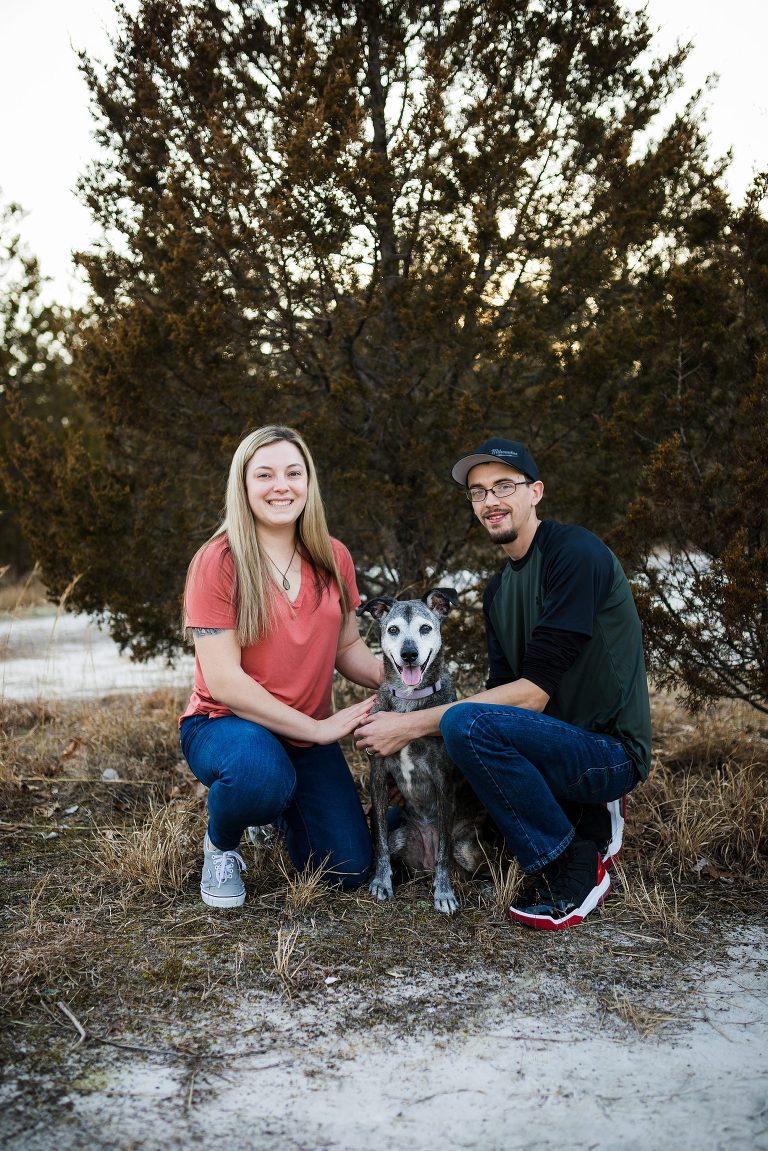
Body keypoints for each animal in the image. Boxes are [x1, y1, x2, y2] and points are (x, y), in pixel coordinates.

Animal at [356, 589, 483, 911]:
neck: (408, 701)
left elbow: (443, 853)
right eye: (393, 630)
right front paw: (381, 881)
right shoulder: (378, 777)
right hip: (403, 835)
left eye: (425, 628)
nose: (409, 654)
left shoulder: (443, 781)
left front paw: (444, 893)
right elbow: (380, 841)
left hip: (466, 848)